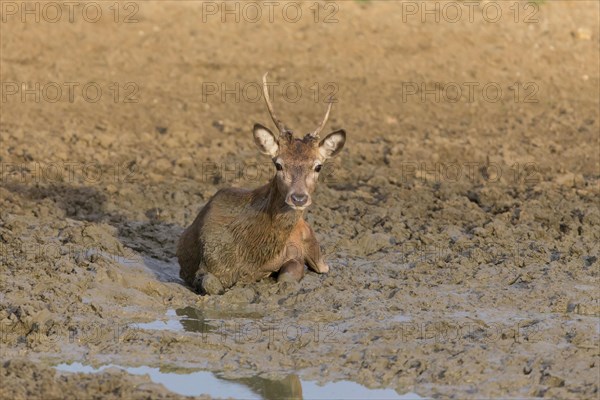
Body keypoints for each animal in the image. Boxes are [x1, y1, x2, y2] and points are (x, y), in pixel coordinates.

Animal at [177, 73, 346, 296]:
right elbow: (211, 285)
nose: (299, 197)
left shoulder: (293, 253)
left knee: (323, 266)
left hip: (313, 243)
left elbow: (287, 276)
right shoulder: (206, 264)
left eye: (318, 166)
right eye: (278, 164)